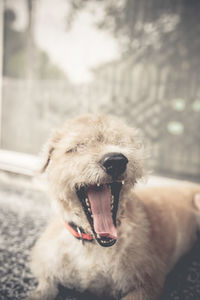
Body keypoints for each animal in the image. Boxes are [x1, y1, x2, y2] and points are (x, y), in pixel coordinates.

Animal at [26, 114, 200, 300]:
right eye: (78, 147)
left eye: (121, 142)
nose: (115, 161)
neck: (93, 246)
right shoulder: (47, 267)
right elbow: (44, 286)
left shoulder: (147, 284)